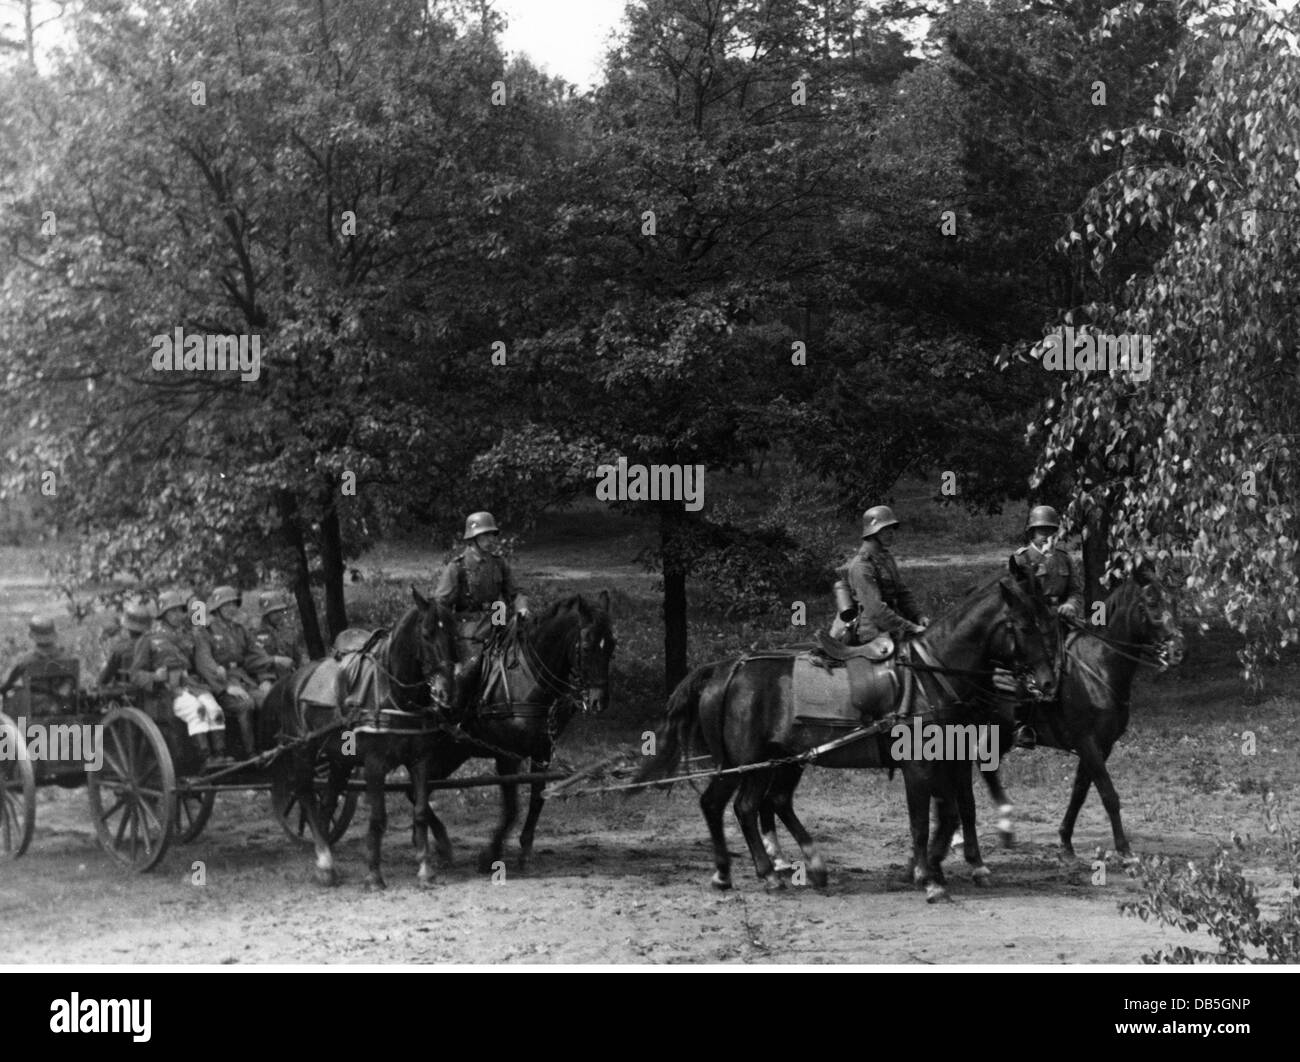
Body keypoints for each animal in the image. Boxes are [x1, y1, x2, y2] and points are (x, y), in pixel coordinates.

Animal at [260, 587, 457, 889]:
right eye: (426, 633)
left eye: (453, 632)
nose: (445, 691)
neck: (393, 692)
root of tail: (293, 679)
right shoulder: (375, 765)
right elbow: (378, 818)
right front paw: (374, 874)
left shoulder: (419, 761)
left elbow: (421, 811)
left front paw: (425, 869)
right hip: (304, 751)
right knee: (306, 795)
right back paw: (325, 863)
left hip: (339, 760)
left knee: (326, 803)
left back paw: (326, 858)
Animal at [421, 592, 613, 873]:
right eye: (587, 647)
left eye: (612, 645)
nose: (599, 701)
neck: (528, 678)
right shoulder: (507, 757)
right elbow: (512, 807)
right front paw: (490, 854)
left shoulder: (542, 753)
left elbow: (537, 798)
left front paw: (525, 848)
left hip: (451, 753)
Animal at [637, 566, 1055, 899]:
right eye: (1025, 625)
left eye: (1046, 621)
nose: (1048, 682)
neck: (931, 673)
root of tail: (725, 669)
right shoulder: (922, 767)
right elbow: (925, 820)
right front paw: (931, 876)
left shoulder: (948, 761)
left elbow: (950, 813)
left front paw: (931, 868)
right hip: (745, 763)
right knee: (733, 805)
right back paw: (754, 873)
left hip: (780, 761)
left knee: (758, 804)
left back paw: (782, 868)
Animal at [951, 566, 1185, 857]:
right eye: (1151, 603)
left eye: (1172, 602)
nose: (1177, 650)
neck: (1098, 667)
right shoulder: (1087, 742)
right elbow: (1108, 794)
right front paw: (1124, 849)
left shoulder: (1102, 745)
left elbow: (1080, 791)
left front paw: (1065, 841)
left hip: (1001, 730)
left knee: (985, 763)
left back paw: (1005, 829)